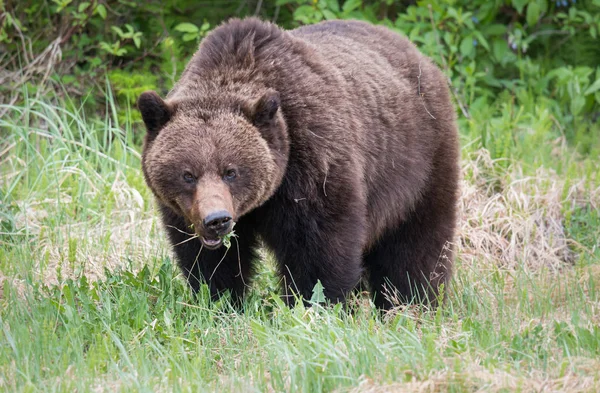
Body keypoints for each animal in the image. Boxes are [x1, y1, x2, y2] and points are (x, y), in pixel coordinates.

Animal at [138, 16, 460, 308]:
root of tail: (415, 51)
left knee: (415, 242)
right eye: (187, 174)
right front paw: (221, 301)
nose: (217, 220)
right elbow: (209, 261)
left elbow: (319, 251)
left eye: (231, 171)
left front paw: (314, 304)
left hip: (417, 160)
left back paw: (413, 301)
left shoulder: (313, 162)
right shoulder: (185, 212)